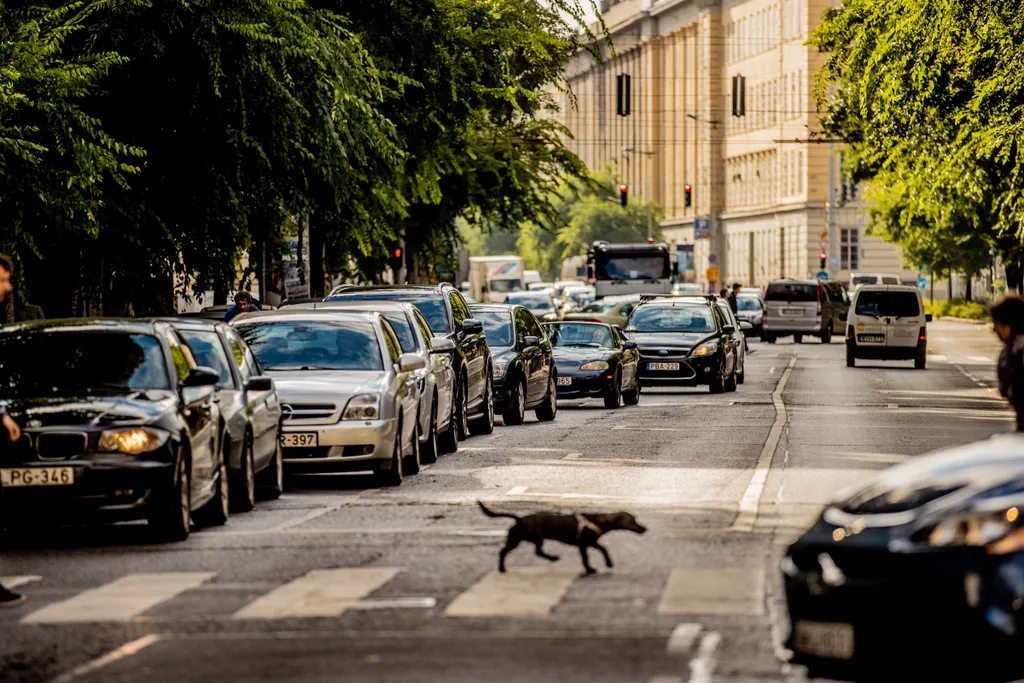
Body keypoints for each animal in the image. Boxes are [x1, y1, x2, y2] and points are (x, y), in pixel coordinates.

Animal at [479, 501, 647, 577]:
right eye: (632, 520)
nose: (644, 529)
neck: (598, 520)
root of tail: (519, 519)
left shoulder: (589, 543)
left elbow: (602, 548)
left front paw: (608, 563)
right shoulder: (584, 544)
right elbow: (587, 557)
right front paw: (590, 569)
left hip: (522, 539)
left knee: (522, 551)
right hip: (530, 538)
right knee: (530, 552)